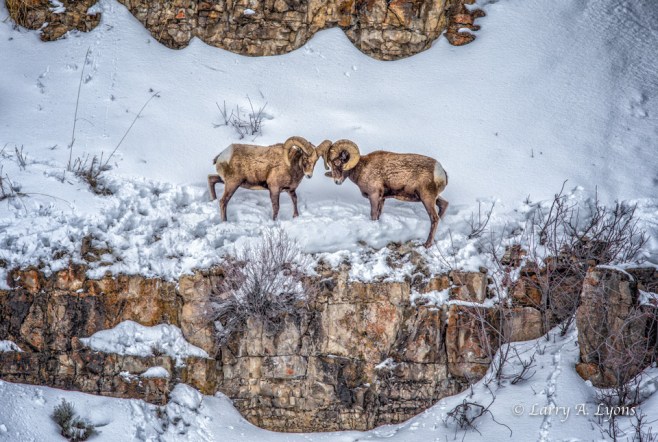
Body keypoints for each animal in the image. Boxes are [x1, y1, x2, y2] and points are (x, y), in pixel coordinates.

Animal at [320, 139, 449, 248]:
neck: (362, 169)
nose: (337, 182)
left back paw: (427, 244)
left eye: (338, 162)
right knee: (444, 205)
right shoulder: (382, 199)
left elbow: (373, 215)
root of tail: (440, 172)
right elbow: (378, 215)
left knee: (434, 218)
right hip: (431, 198)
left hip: (427, 198)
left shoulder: (374, 196)